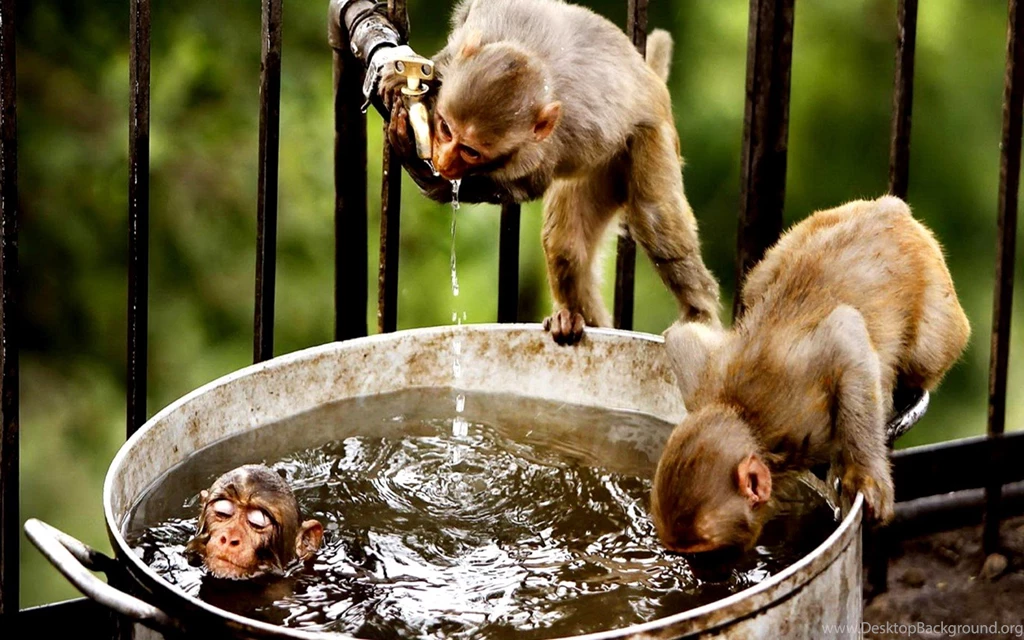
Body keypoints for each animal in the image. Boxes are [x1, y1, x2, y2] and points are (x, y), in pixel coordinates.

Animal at [380, 0, 721, 345]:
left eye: (470, 151)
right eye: (446, 129)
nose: (444, 160)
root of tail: (651, 80)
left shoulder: (538, 152)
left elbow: (523, 186)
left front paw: (421, 167)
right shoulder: (478, 27)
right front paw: (405, 84)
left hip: (648, 138)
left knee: (654, 219)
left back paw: (699, 314)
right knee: (566, 245)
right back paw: (574, 317)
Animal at [650, 196, 971, 554]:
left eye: (704, 551)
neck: (747, 417)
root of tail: (889, 208)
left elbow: (845, 332)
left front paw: (867, 475)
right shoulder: (703, 384)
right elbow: (681, 336)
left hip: (935, 298)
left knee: (923, 355)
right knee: (758, 283)